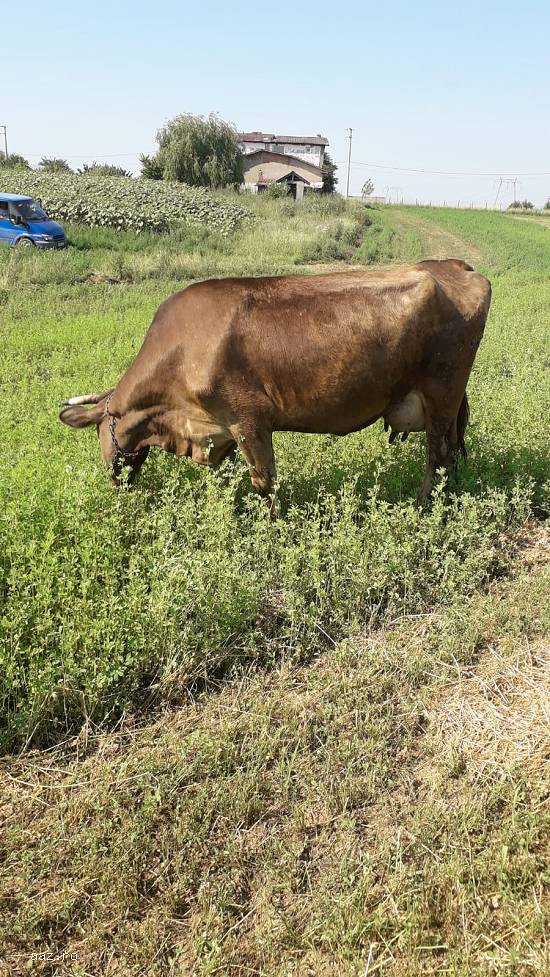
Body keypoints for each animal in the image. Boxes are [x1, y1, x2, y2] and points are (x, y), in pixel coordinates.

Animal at [59, 259, 491, 502]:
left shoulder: (248, 419)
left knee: (437, 454)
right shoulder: (220, 431)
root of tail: (456, 266)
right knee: (451, 453)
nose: (114, 485)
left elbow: (264, 481)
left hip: (441, 392)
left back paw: (424, 506)